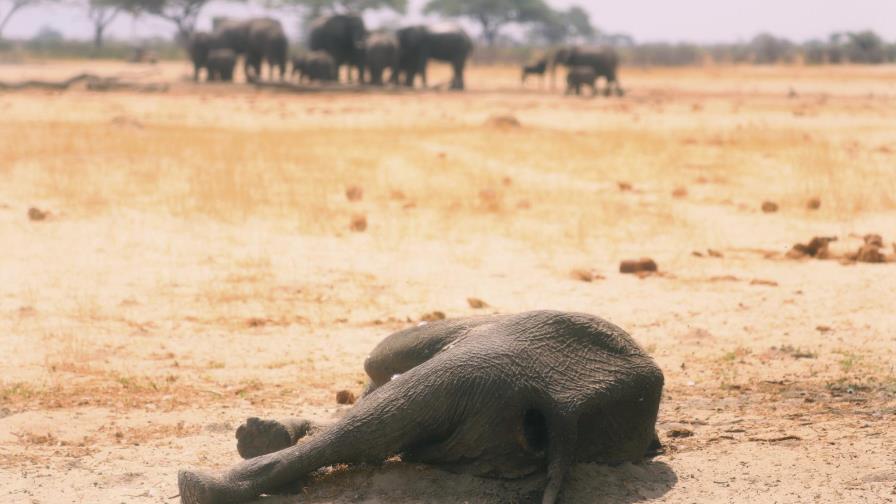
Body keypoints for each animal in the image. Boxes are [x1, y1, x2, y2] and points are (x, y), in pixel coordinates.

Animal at [177, 310, 665, 504]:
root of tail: (566, 410)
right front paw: (260, 434)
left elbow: (378, 364)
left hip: (486, 363)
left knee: (384, 407)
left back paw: (200, 486)